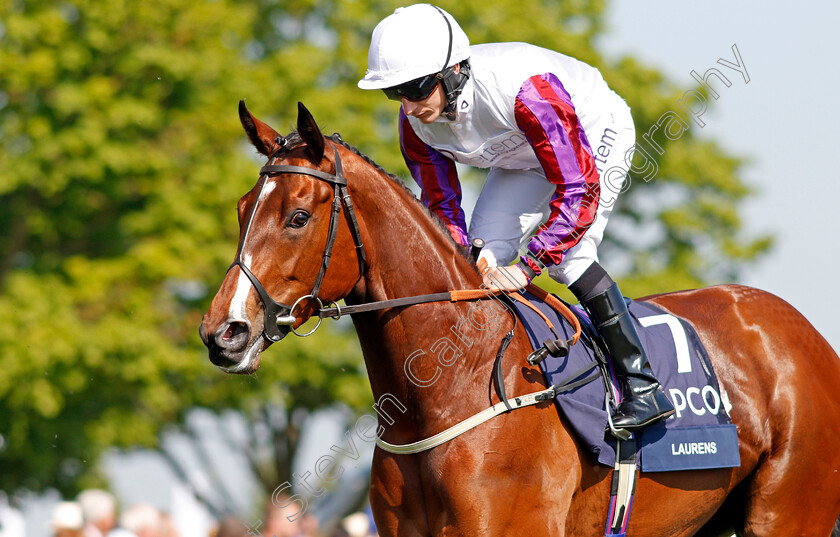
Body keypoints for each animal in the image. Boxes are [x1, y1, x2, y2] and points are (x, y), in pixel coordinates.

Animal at [199, 102, 840, 532]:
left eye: (298, 217)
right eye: (241, 209)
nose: (223, 333)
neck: (453, 384)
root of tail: (807, 334)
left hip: (787, 511)